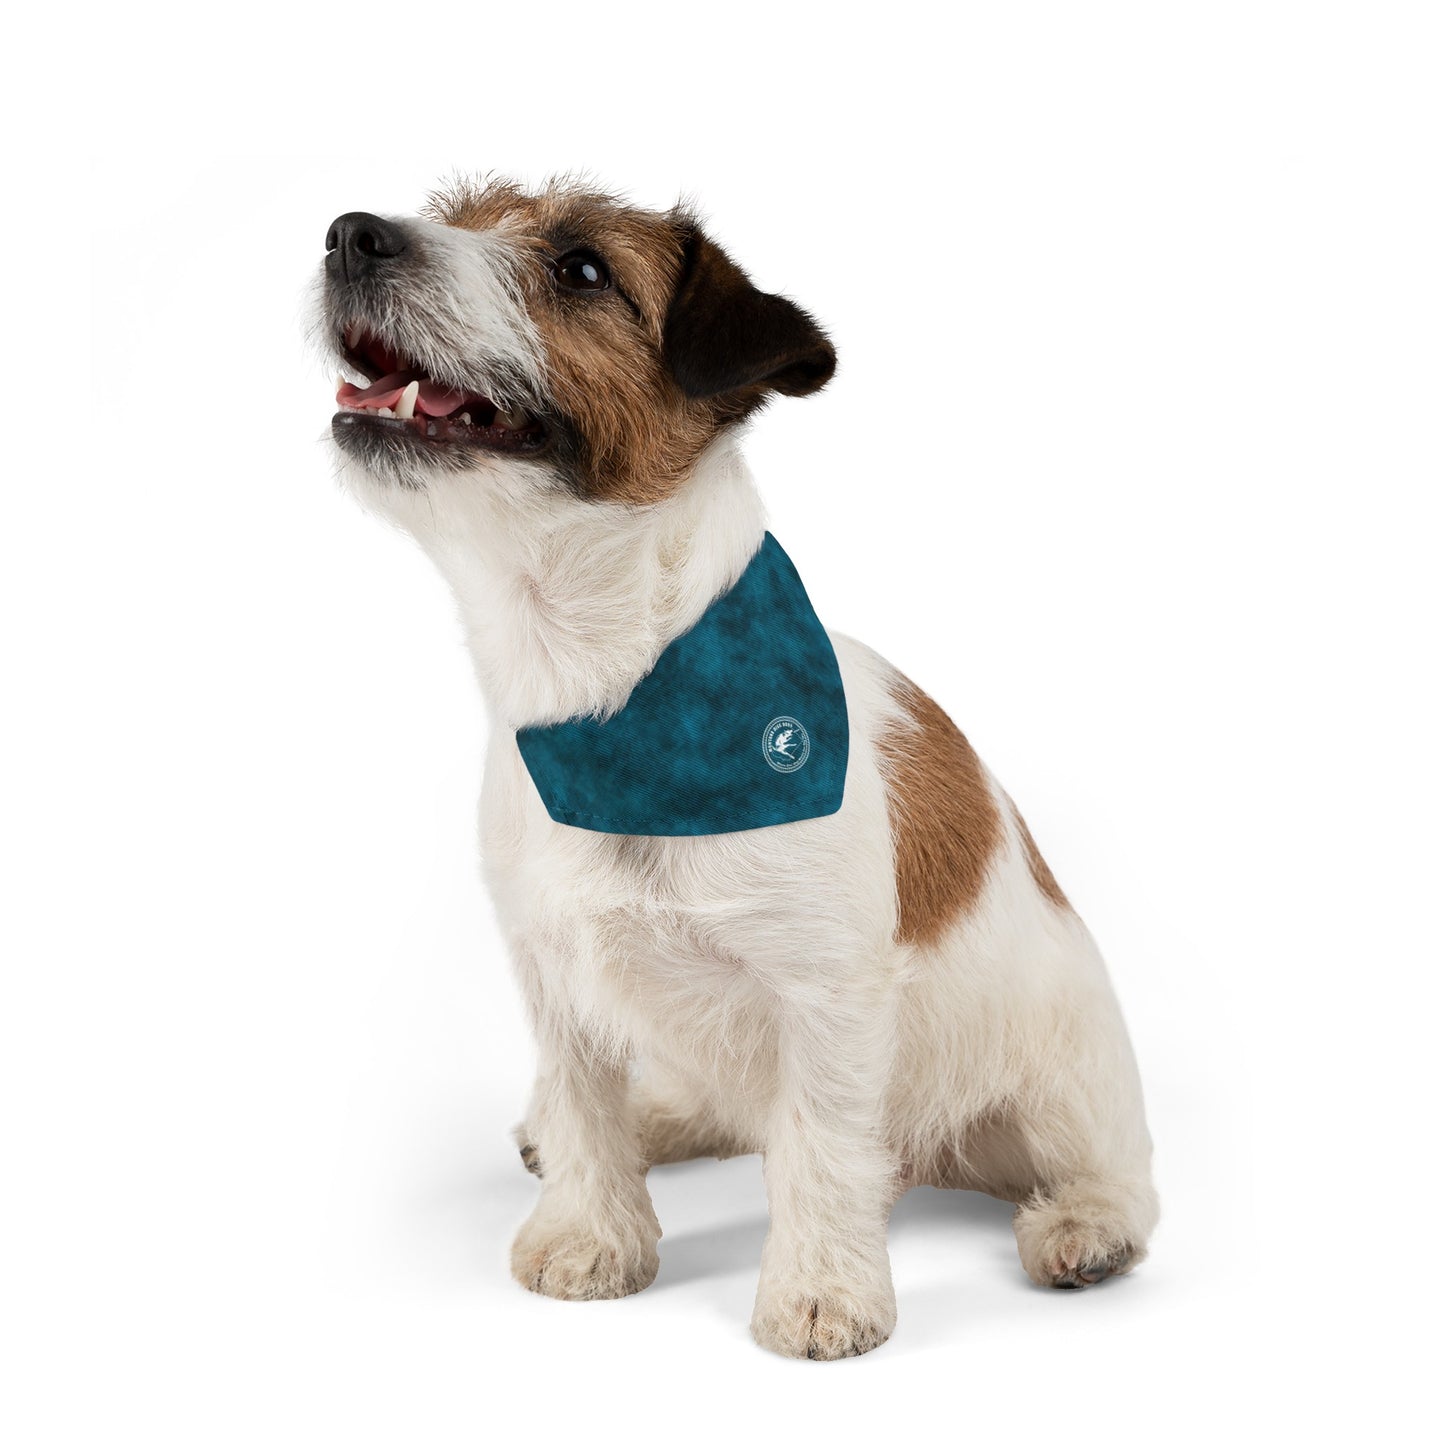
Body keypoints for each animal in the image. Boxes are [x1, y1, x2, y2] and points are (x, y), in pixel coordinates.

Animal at [314, 177, 1158, 1359]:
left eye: (580, 269)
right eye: (456, 212)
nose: (350, 235)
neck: (611, 699)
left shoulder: (824, 993)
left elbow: (821, 1142)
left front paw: (820, 1290)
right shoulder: (552, 971)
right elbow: (582, 1100)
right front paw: (593, 1231)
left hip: (1063, 1072)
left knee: (1115, 1170)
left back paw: (1084, 1224)